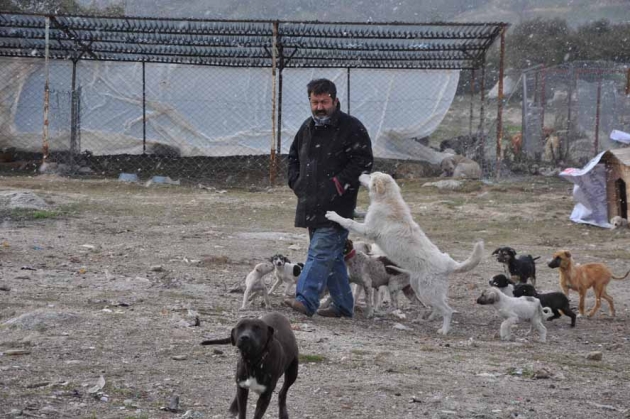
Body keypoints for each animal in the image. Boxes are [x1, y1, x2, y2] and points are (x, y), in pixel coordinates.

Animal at [326, 172, 484, 336]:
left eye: (371, 176)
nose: (361, 173)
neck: (388, 200)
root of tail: (449, 263)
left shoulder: (367, 229)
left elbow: (349, 221)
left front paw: (333, 215)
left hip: (428, 291)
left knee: (447, 310)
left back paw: (444, 330)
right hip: (420, 288)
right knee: (437, 306)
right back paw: (429, 318)